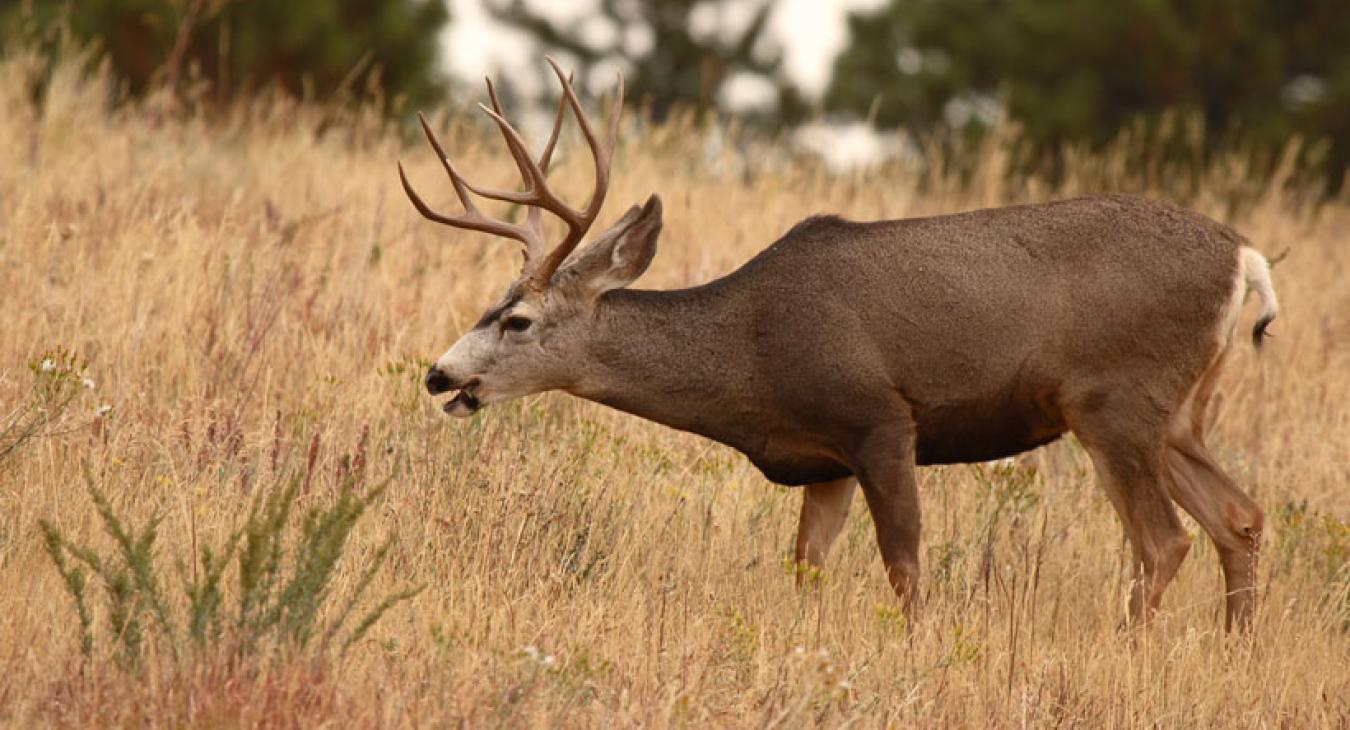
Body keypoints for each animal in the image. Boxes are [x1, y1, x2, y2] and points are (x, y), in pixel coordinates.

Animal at [396, 59, 1274, 628]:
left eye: (516, 320)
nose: (439, 376)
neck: (750, 353)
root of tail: (1245, 256)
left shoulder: (879, 419)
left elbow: (905, 565)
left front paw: (917, 651)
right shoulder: (824, 462)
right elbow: (806, 568)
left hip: (1113, 400)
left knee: (1163, 542)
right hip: (1177, 413)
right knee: (1240, 517)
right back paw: (1234, 650)